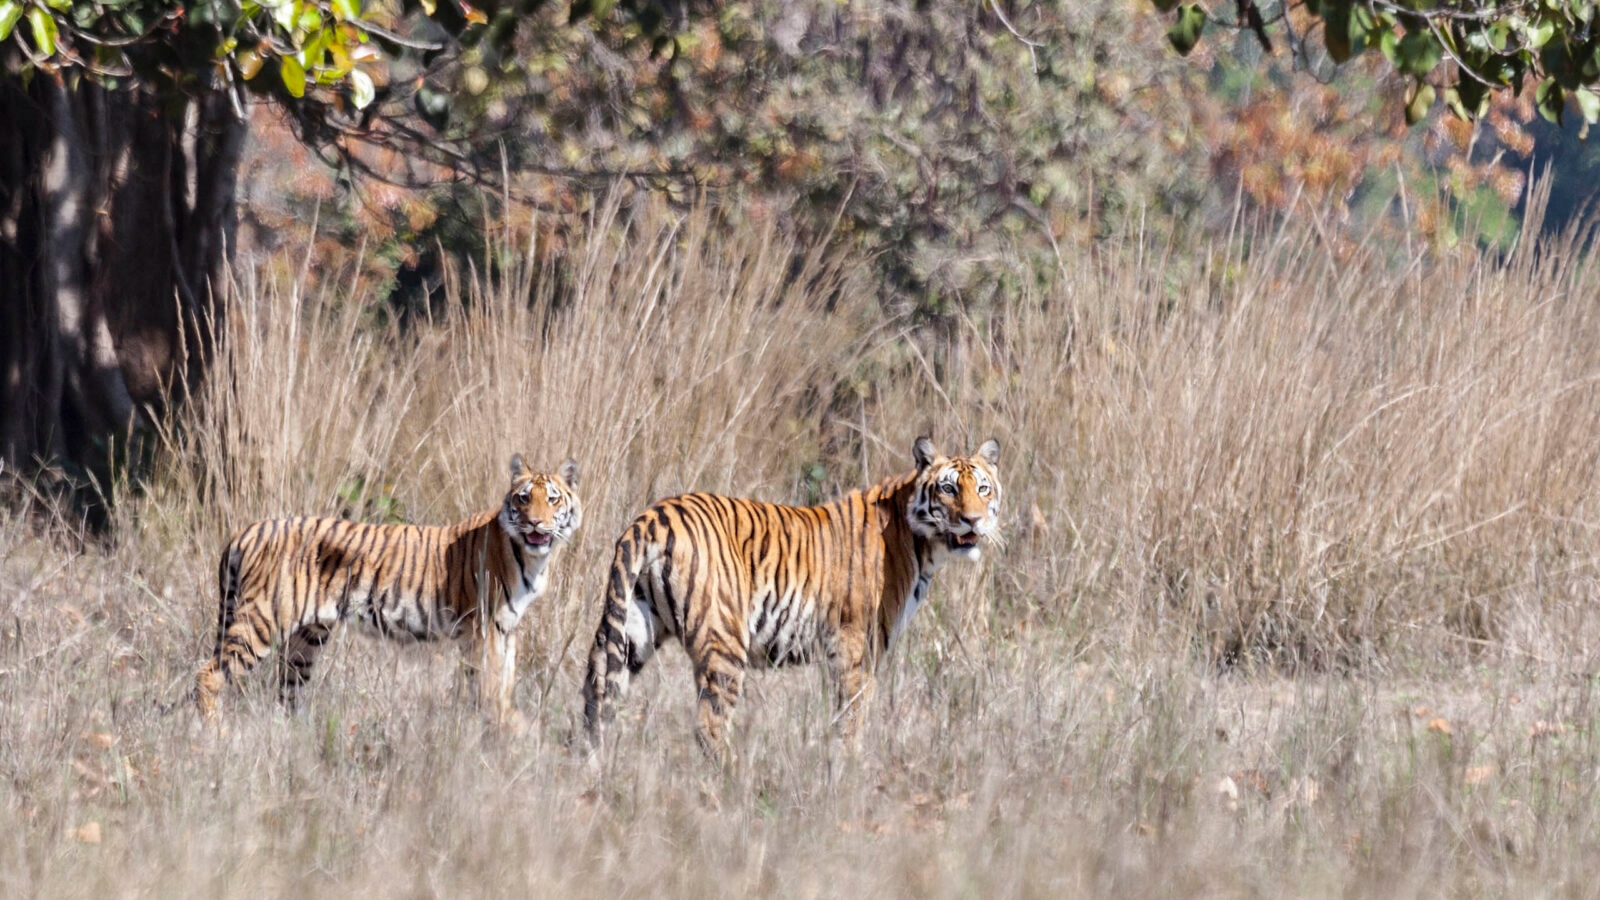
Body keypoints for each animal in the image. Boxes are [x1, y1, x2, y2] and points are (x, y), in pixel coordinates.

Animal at [194, 455, 581, 725]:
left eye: (552, 499)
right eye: (523, 498)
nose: (535, 523)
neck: (532, 558)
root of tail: (247, 530)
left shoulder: (506, 629)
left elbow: (504, 683)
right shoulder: (483, 627)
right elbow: (490, 686)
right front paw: (511, 730)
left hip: (307, 638)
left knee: (287, 692)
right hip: (262, 620)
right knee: (208, 675)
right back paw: (217, 737)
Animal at [582, 436, 1001, 758]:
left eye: (983, 489)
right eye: (948, 488)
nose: (973, 520)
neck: (922, 545)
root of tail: (652, 516)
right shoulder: (855, 647)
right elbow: (852, 716)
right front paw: (850, 770)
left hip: (631, 629)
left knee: (596, 701)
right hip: (723, 641)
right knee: (708, 724)